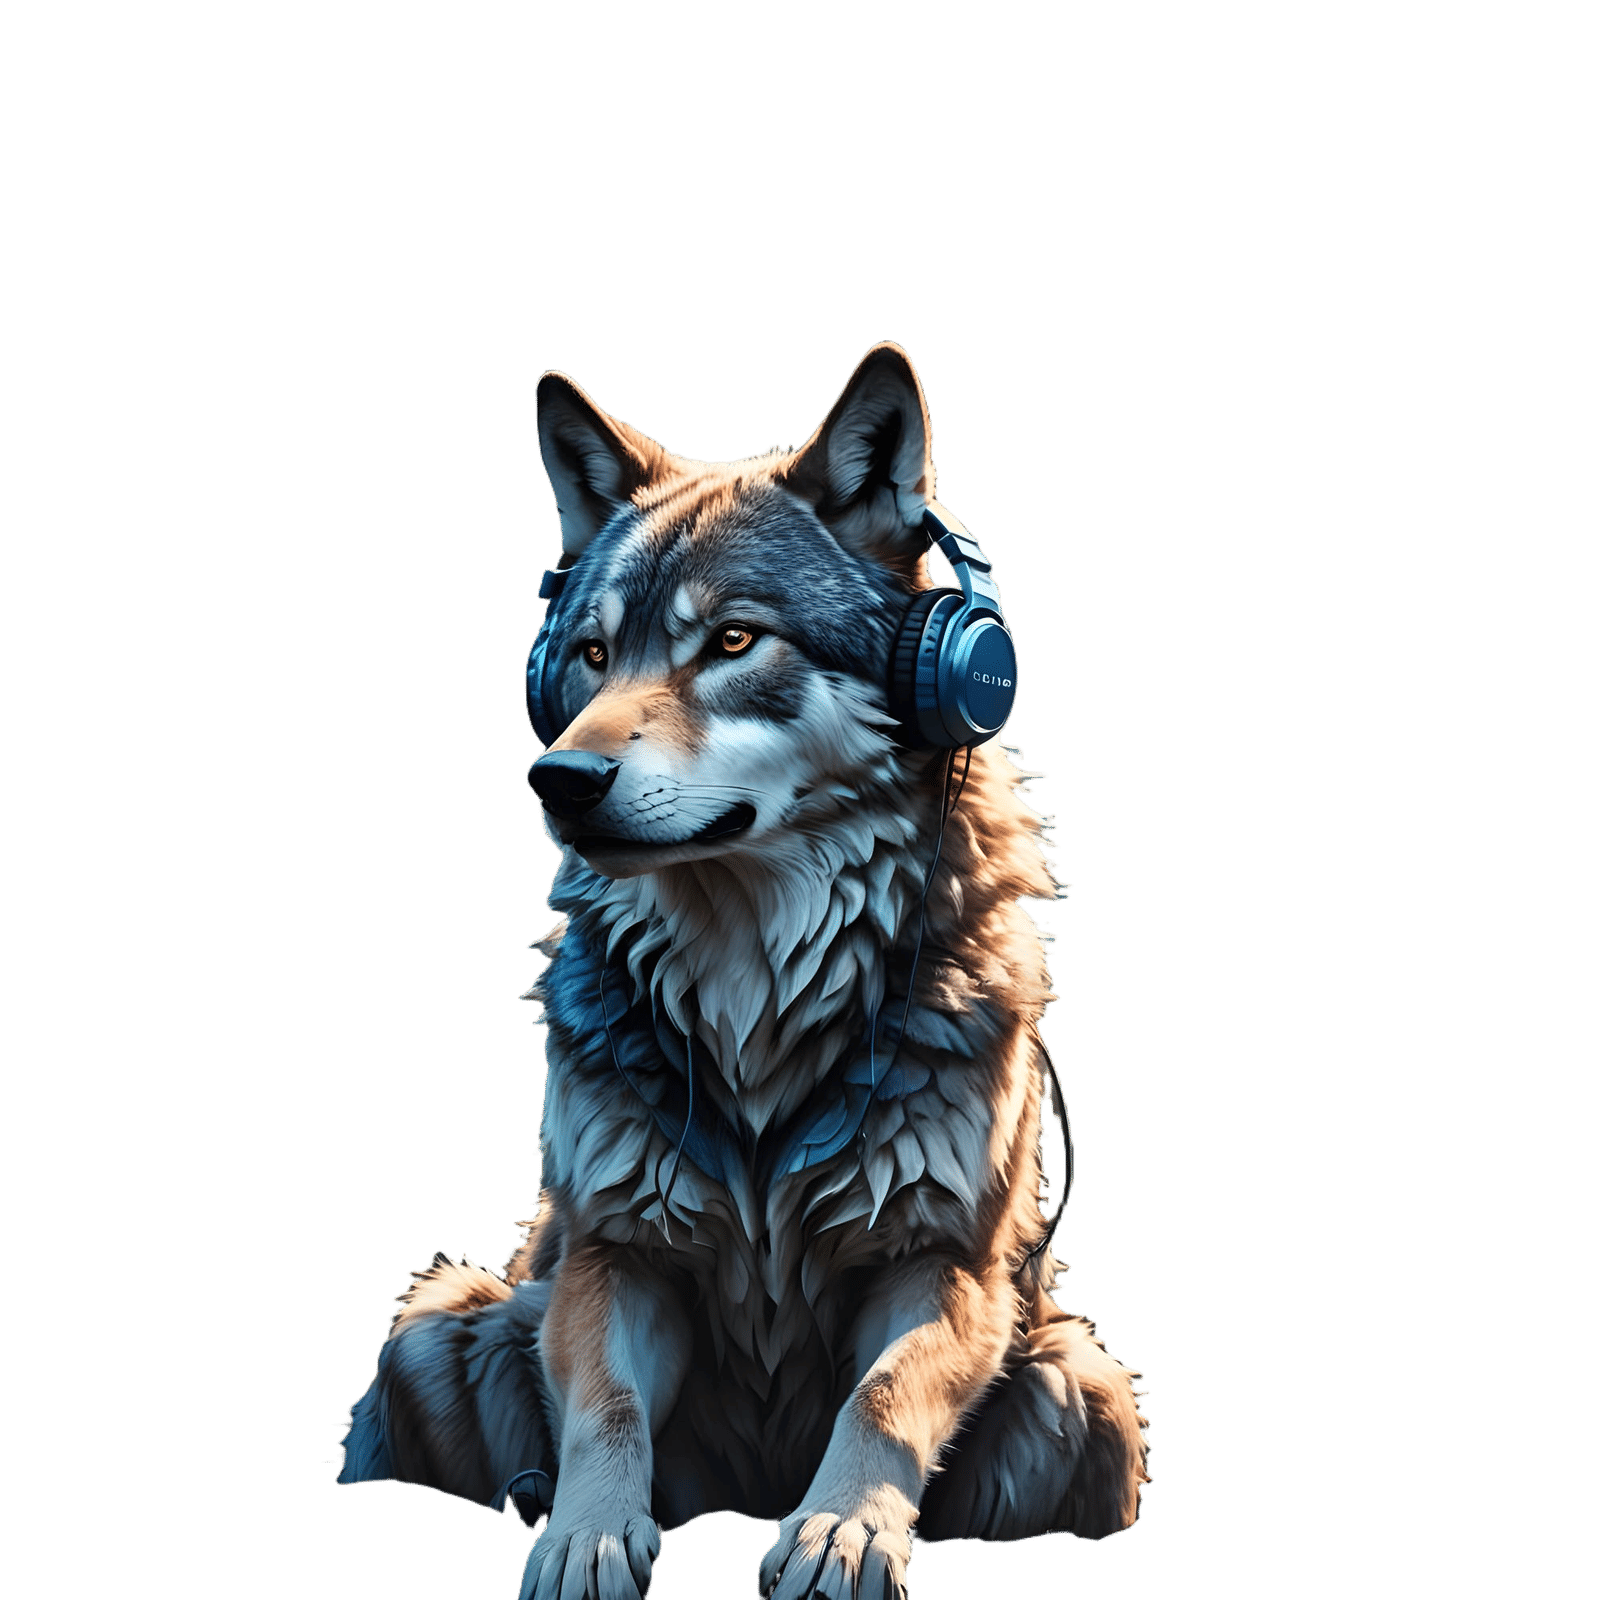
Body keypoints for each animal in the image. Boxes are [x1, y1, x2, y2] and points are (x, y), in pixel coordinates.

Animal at [338, 344, 1150, 1599]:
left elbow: (883, 1397)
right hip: (433, 1322)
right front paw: (584, 1535)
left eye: (731, 641)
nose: (557, 778)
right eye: (590, 652)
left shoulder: (943, 1263)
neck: (753, 987)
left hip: (1083, 1386)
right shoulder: (614, 1253)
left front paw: (840, 1530)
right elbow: (610, 1408)